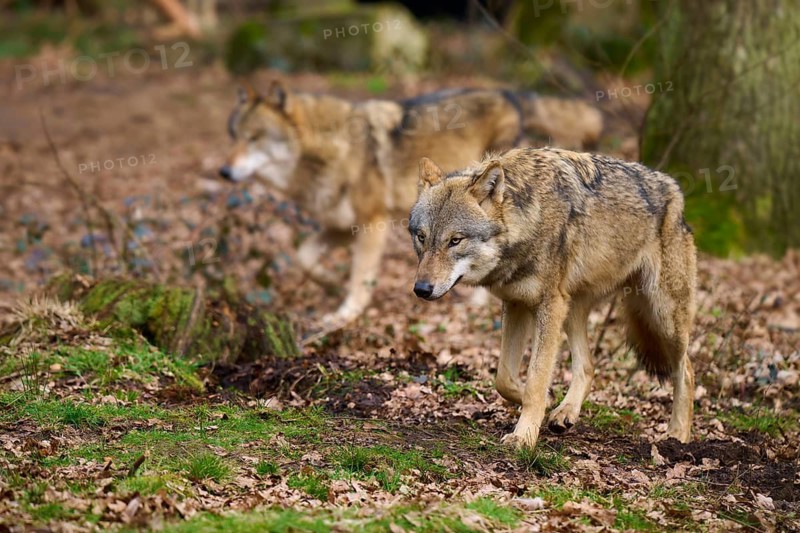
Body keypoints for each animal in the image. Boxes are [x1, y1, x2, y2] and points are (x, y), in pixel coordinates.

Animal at [220, 81, 603, 325]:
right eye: (234, 136)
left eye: (254, 138)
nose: (223, 171)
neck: (327, 152)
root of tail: (509, 93)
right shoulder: (341, 224)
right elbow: (303, 256)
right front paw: (329, 281)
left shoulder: (372, 221)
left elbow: (359, 276)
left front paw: (346, 314)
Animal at [409, 147, 696, 448]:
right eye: (422, 237)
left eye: (455, 240)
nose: (422, 289)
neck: (529, 218)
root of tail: (674, 188)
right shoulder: (516, 303)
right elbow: (504, 378)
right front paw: (543, 404)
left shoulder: (549, 306)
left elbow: (535, 379)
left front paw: (523, 437)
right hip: (574, 310)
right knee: (588, 366)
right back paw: (565, 412)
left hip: (663, 317)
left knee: (686, 369)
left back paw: (678, 434)